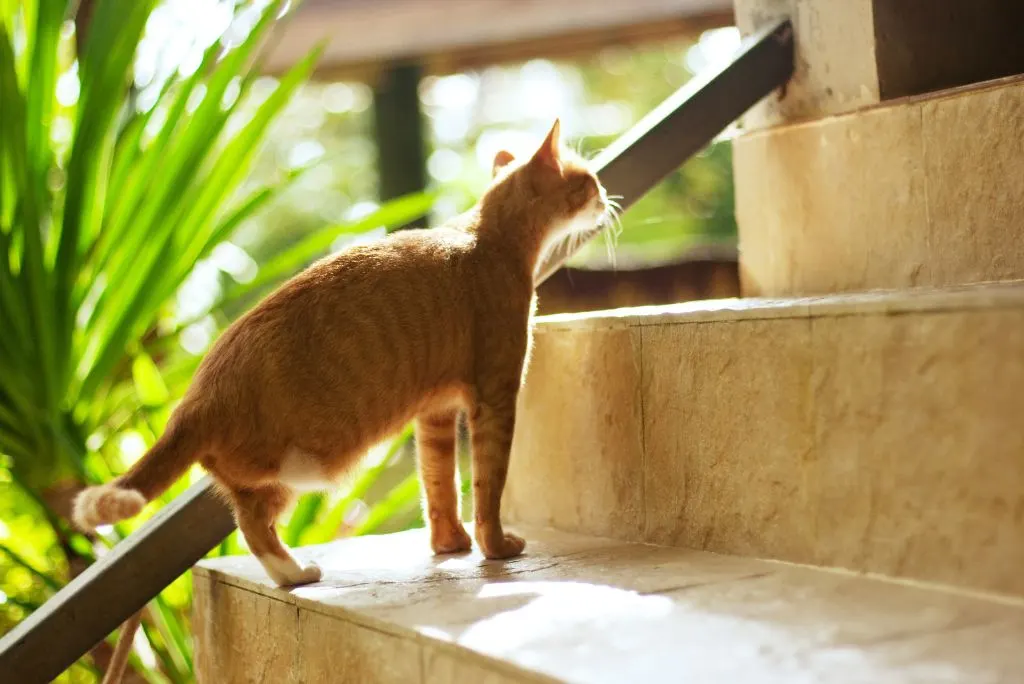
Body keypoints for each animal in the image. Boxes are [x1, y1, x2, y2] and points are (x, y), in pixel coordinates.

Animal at [75, 118, 610, 589]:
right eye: (588, 180)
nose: (607, 198)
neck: (487, 237)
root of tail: (195, 399)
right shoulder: (495, 398)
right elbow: (487, 484)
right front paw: (495, 548)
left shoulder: (435, 414)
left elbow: (438, 484)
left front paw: (450, 546)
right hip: (296, 470)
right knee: (255, 526)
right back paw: (296, 574)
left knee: (249, 519)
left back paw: (291, 574)